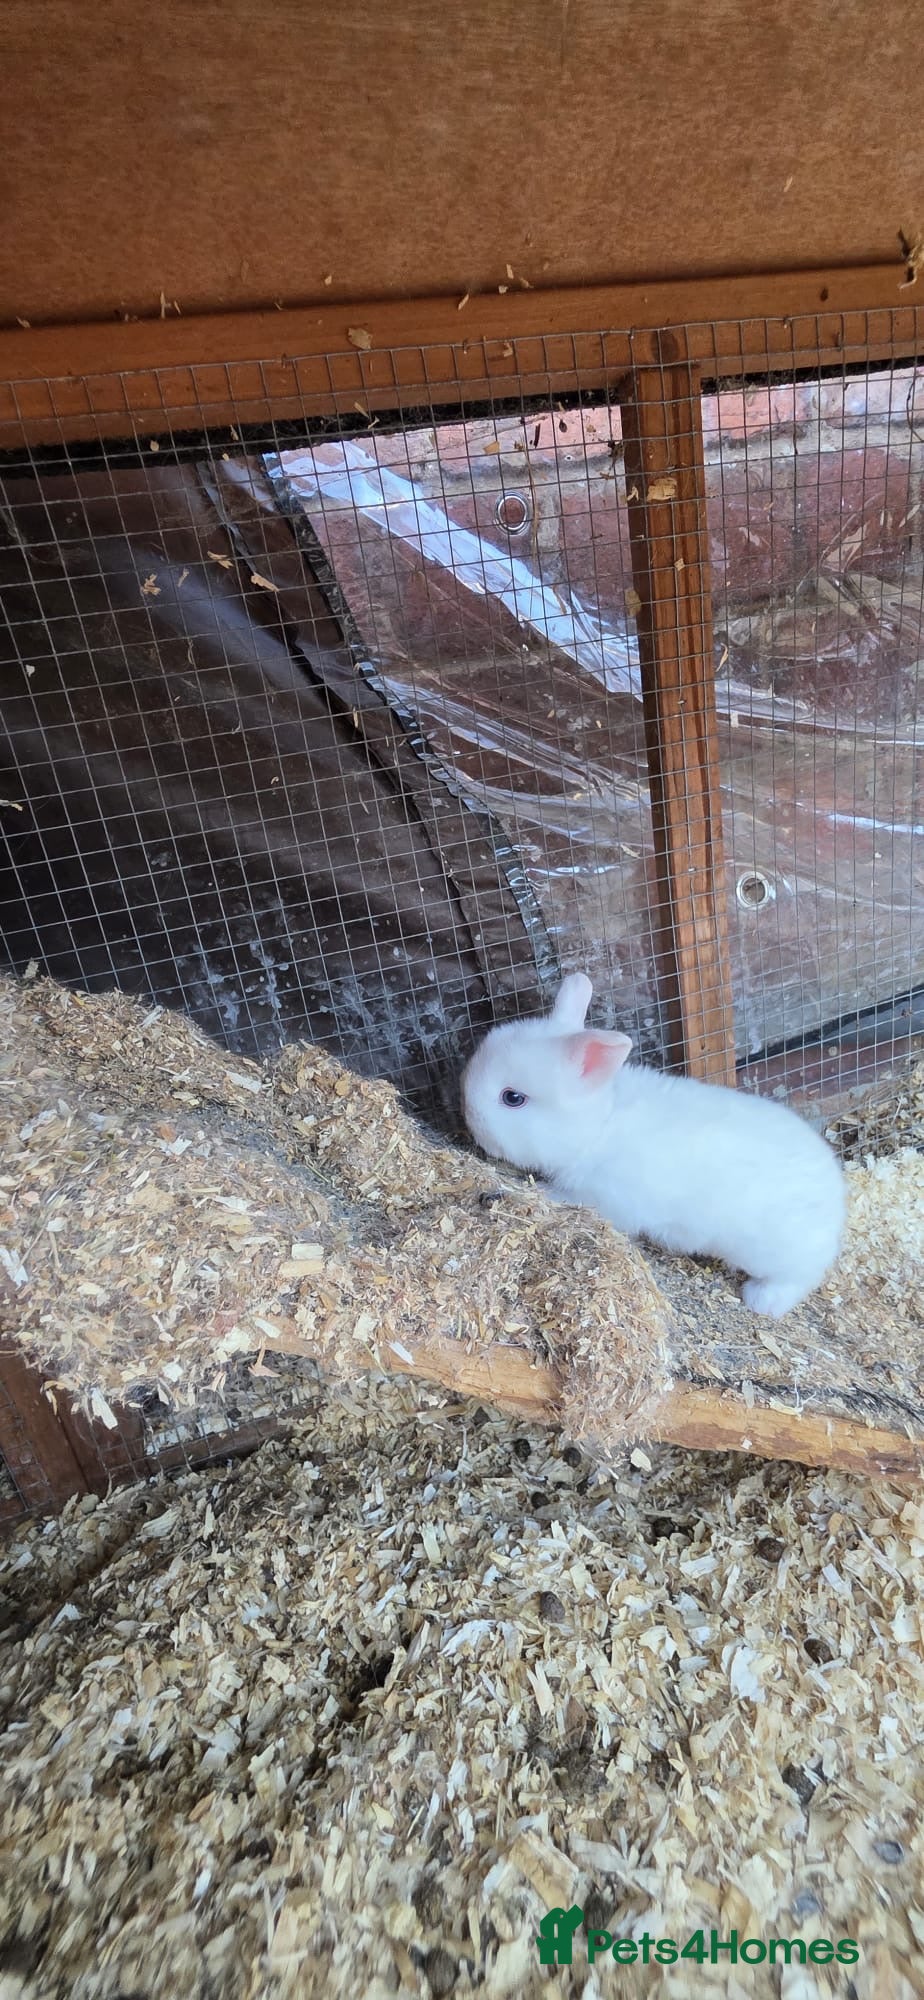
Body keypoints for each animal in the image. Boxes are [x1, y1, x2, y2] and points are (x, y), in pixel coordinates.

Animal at [462, 972, 845, 1317]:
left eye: (513, 1098)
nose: (468, 1113)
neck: (598, 1127)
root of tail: (835, 1203)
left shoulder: (604, 1197)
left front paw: (540, 1191)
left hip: (778, 1254)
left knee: (798, 1277)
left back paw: (761, 1301)